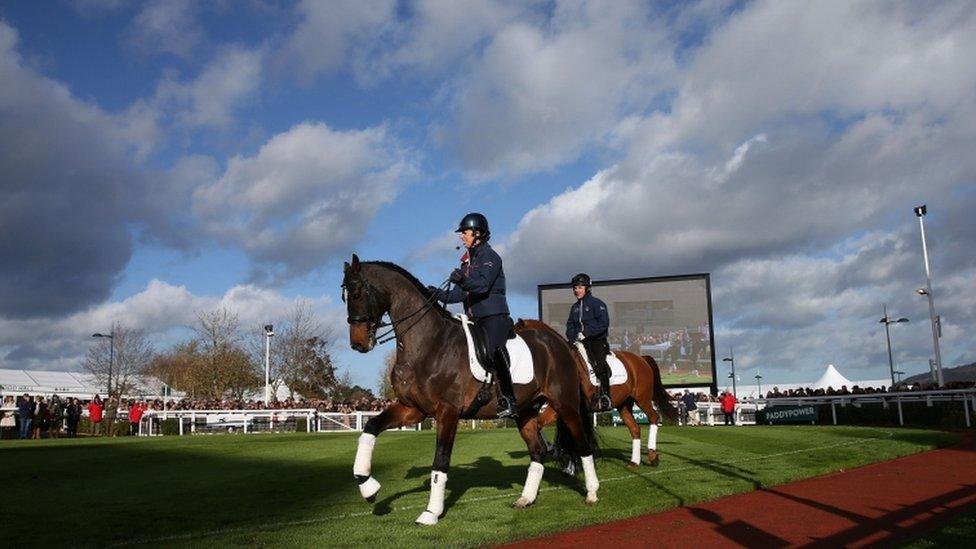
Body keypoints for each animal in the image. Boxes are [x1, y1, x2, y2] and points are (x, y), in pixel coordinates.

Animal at [344, 255, 604, 524]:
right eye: (344, 296)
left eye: (356, 293)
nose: (358, 344)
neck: (429, 343)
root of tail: (561, 344)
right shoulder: (413, 409)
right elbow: (370, 427)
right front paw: (367, 486)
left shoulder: (447, 411)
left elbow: (440, 460)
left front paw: (431, 512)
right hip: (525, 412)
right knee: (538, 451)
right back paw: (526, 498)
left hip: (566, 405)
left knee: (583, 446)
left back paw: (592, 493)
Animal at [536, 352, 676, 466]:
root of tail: (641, 358)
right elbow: (539, 423)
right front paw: (549, 449)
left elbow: (540, 423)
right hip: (624, 405)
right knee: (635, 428)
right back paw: (634, 461)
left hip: (642, 399)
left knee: (653, 418)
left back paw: (653, 456)